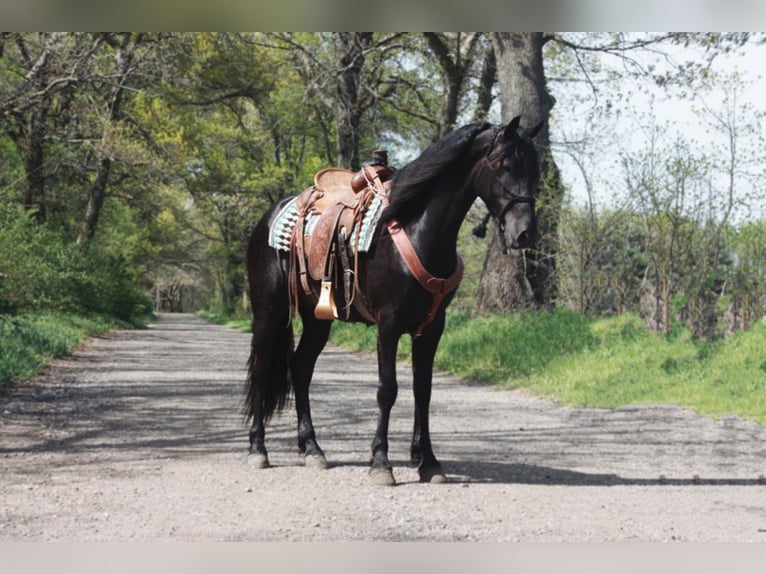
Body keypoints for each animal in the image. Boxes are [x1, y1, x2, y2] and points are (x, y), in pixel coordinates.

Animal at [248, 117, 544, 486]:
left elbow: (423, 391)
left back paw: (312, 449)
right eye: (504, 164)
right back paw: (258, 449)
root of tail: (269, 219)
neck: (417, 231)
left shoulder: (431, 328)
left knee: (300, 369)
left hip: (317, 319)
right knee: (261, 369)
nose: (526, 234)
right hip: (268, 311)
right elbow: (387, 390)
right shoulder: (387, 326)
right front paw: (381, 462)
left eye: (536, 169)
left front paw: (428, 462)